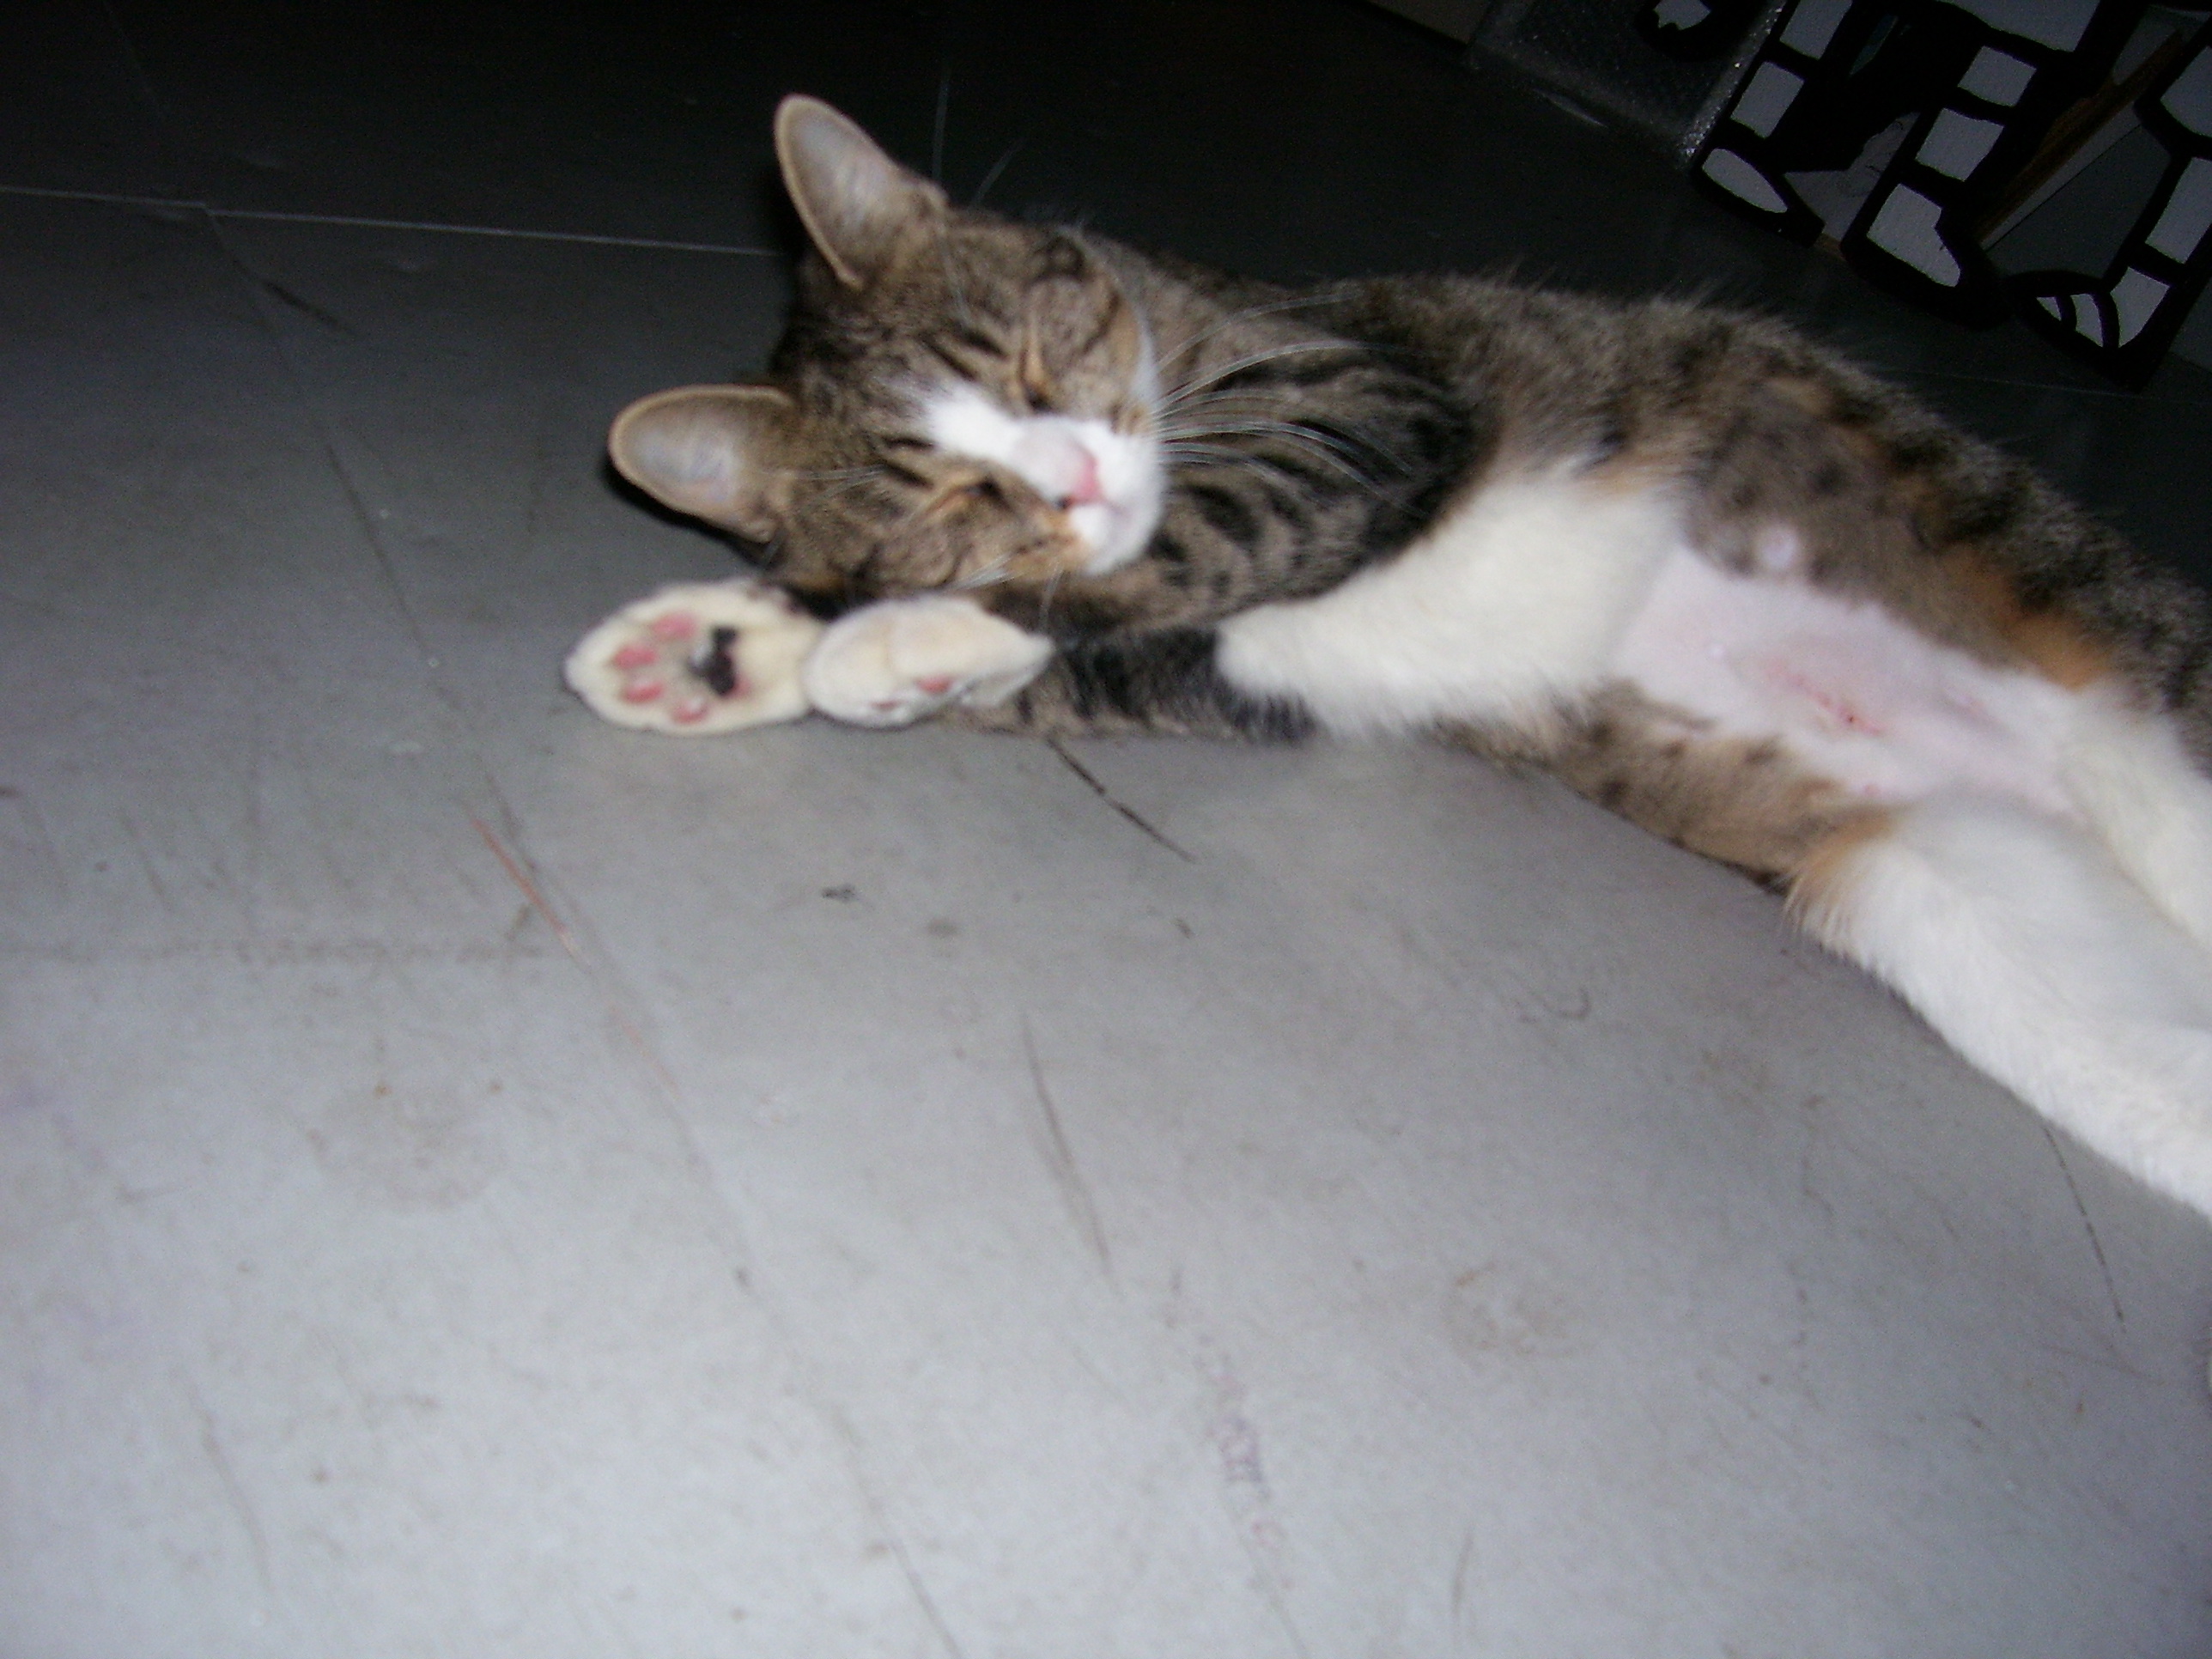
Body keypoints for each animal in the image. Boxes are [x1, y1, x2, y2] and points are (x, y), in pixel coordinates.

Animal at [566, 97, 2212, 1230]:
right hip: (1950, 912)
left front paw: (876, 640)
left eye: (1036, 364)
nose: (1076, 480)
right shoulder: (1253, 676)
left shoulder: (1366, 403)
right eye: (948, 501)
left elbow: (1194, 536)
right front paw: (731, 651)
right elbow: (1091, 651)